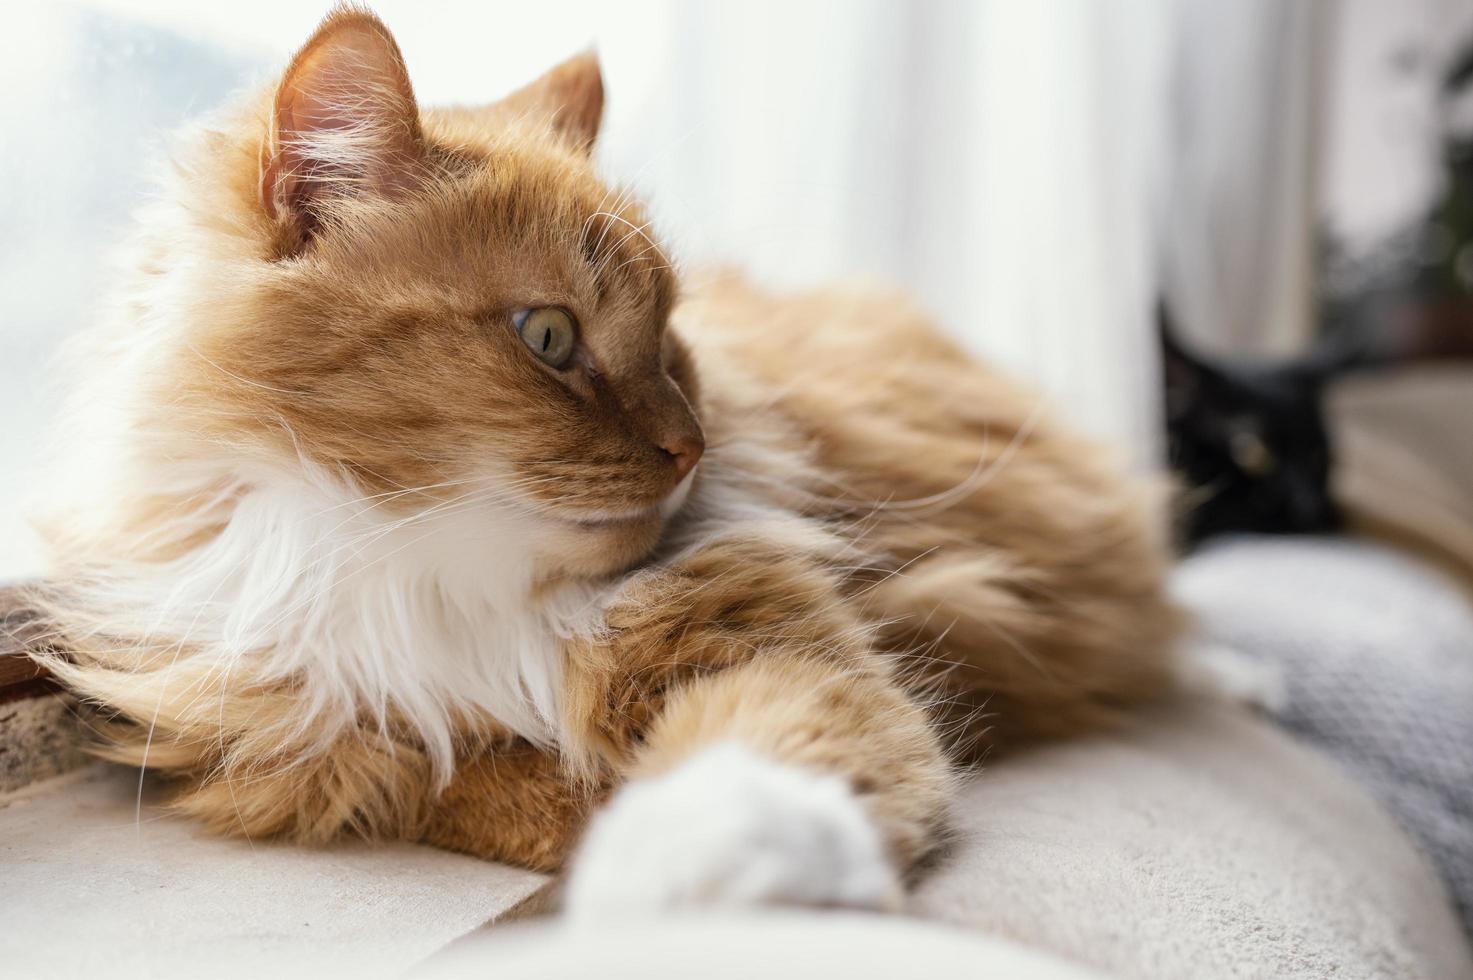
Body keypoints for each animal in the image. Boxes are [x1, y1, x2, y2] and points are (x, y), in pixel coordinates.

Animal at [25, 7, 1172, 913]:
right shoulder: (333, 735)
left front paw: (668, 872)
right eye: (548, 338)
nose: (691, 447)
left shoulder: (770, 641)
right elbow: (490, 783)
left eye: (670, 339)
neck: (426, 577)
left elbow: (746, 765)